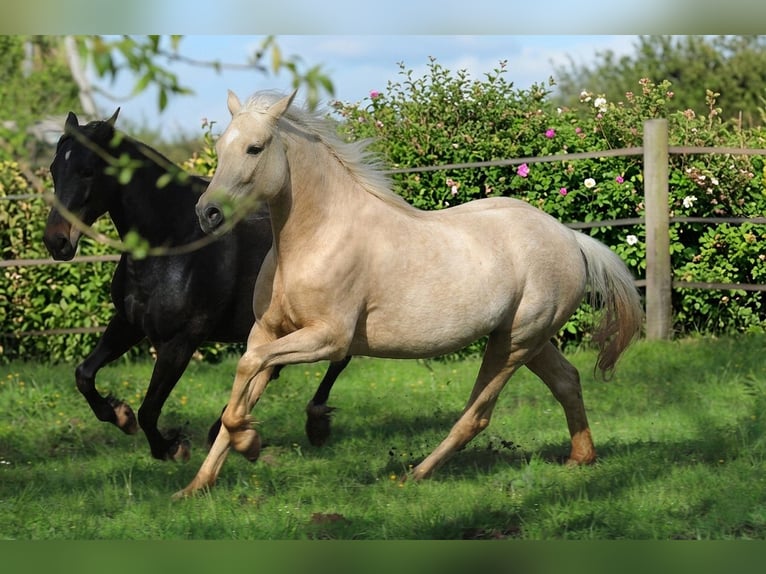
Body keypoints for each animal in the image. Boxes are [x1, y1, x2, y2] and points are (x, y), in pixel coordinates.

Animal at [43, 109, 351, 462]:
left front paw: (171, 447)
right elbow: (84, 375)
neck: (172, 241)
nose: (56, 242)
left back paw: (313, 423)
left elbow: (149, 410)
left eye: (87, 171)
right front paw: (120, 415)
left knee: (337, 358)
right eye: (54, 169)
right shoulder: (128, 324)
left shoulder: (181, 341)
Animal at [177, 89, 643, 497]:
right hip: (527, 339)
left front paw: (251, 444)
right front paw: (195, 486)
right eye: (221, 147)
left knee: (477, 416)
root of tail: (570, 237)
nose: (206, 213)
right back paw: (581, 458)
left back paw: (415, 474)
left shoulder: (328, 339)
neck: (317, 238)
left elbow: (246, 371)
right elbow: (242, 387)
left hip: (514, 344)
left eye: (255, 148)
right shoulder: (267, 333)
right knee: (566, 380)